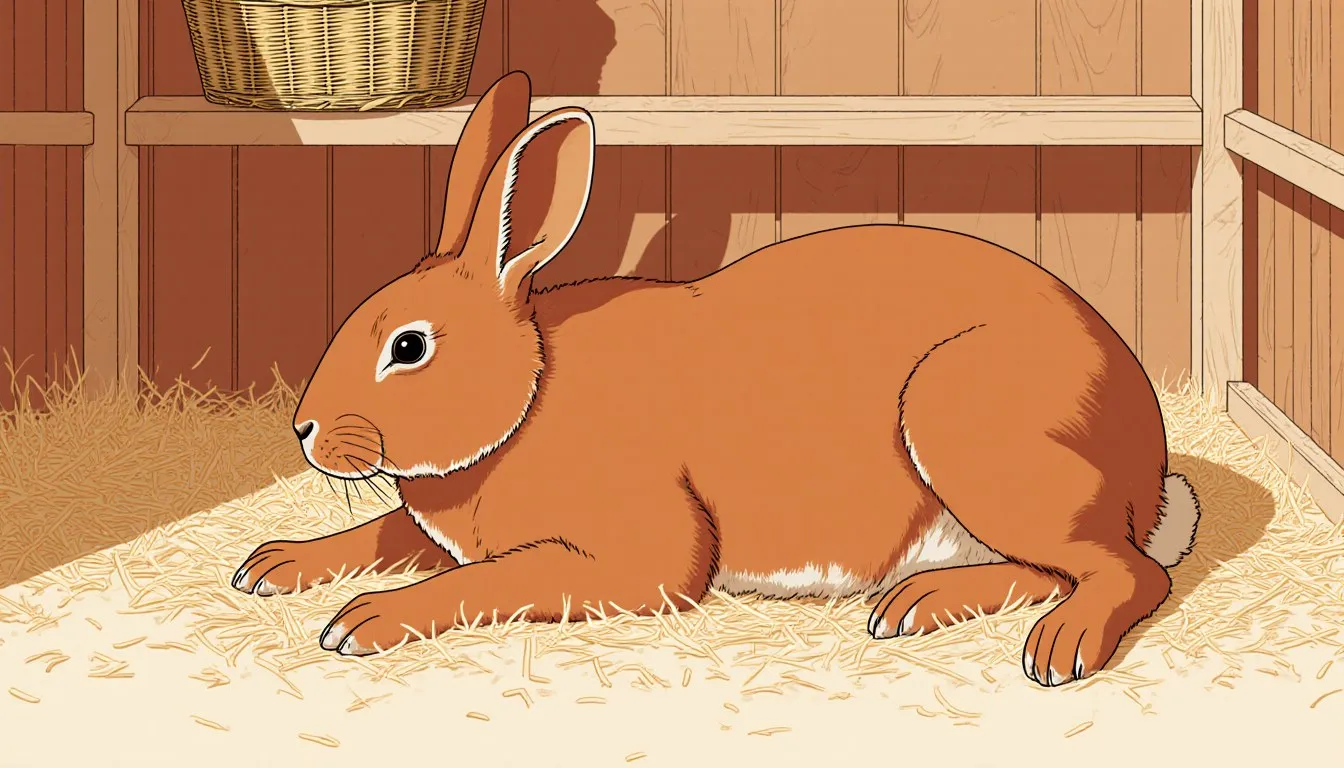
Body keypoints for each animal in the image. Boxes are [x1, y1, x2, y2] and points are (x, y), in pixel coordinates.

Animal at [231, 70, 1200, 688]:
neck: (530, 395)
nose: (303, 430)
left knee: (1124, 576)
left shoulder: (634, 556)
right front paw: (271, 564)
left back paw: (1056, 650)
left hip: (971, 431)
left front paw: (361, 621)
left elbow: (486, 582)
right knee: (1060, 567)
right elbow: (385, 534)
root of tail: (1149, 474)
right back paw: (918, 605)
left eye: (409, 348)